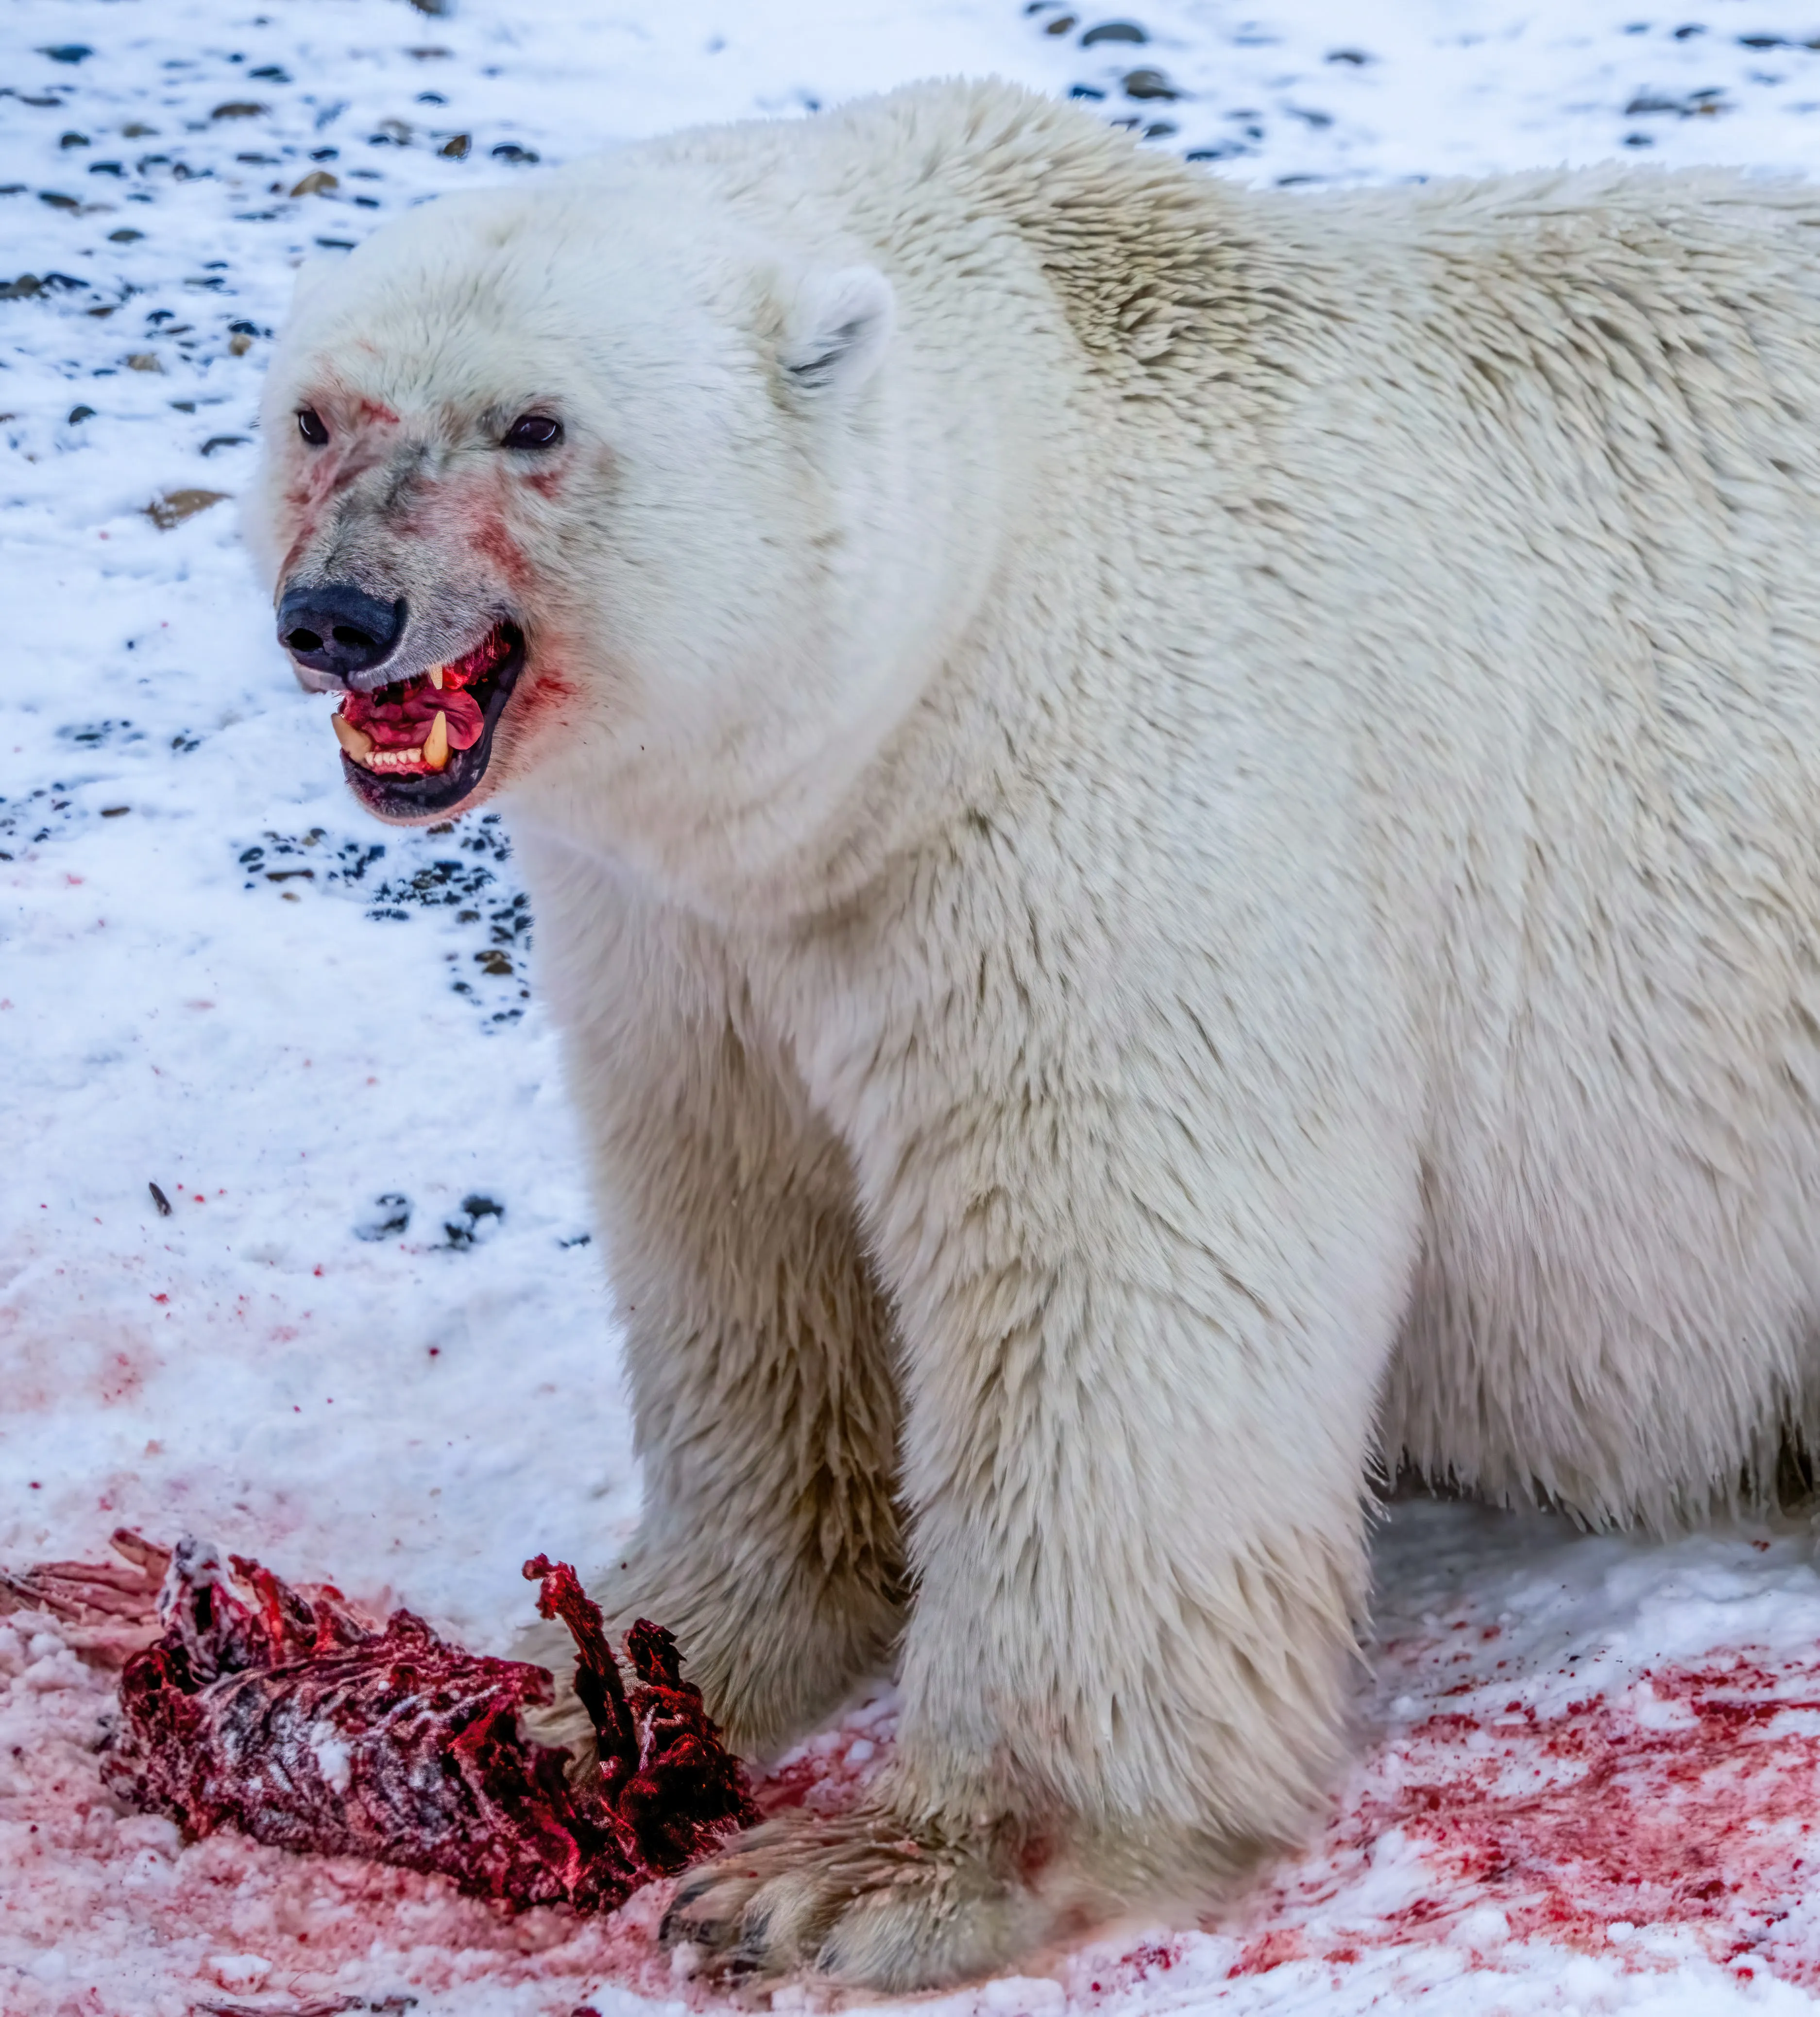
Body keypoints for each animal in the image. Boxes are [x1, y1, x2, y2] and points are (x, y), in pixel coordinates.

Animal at [246, 78, 1820, 1988]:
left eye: (535, 424)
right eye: (319, 414)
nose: (339, 615)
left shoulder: (1121, 813)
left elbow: (1104, 1299)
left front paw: (865, 1874)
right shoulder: (697, 939)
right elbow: (739, 1241)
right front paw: (583, 1684)